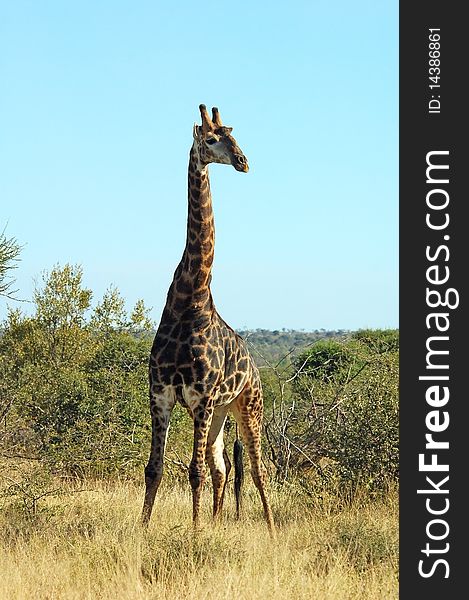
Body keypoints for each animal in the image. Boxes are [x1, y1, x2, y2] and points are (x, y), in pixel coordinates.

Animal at [143, 103, 274, 536]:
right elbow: (155, 468)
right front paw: (143, 530)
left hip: (248, 407)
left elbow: (194, 471)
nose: (244, 161)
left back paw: (270, 529)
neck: (189, 299)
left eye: (235, 137)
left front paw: (196, 531)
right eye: (213, 139)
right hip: (218, 415)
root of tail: (255, 367)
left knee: (256, 469)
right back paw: (217, 521)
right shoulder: (162, 394)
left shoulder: (200, 397)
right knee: (223, 465)